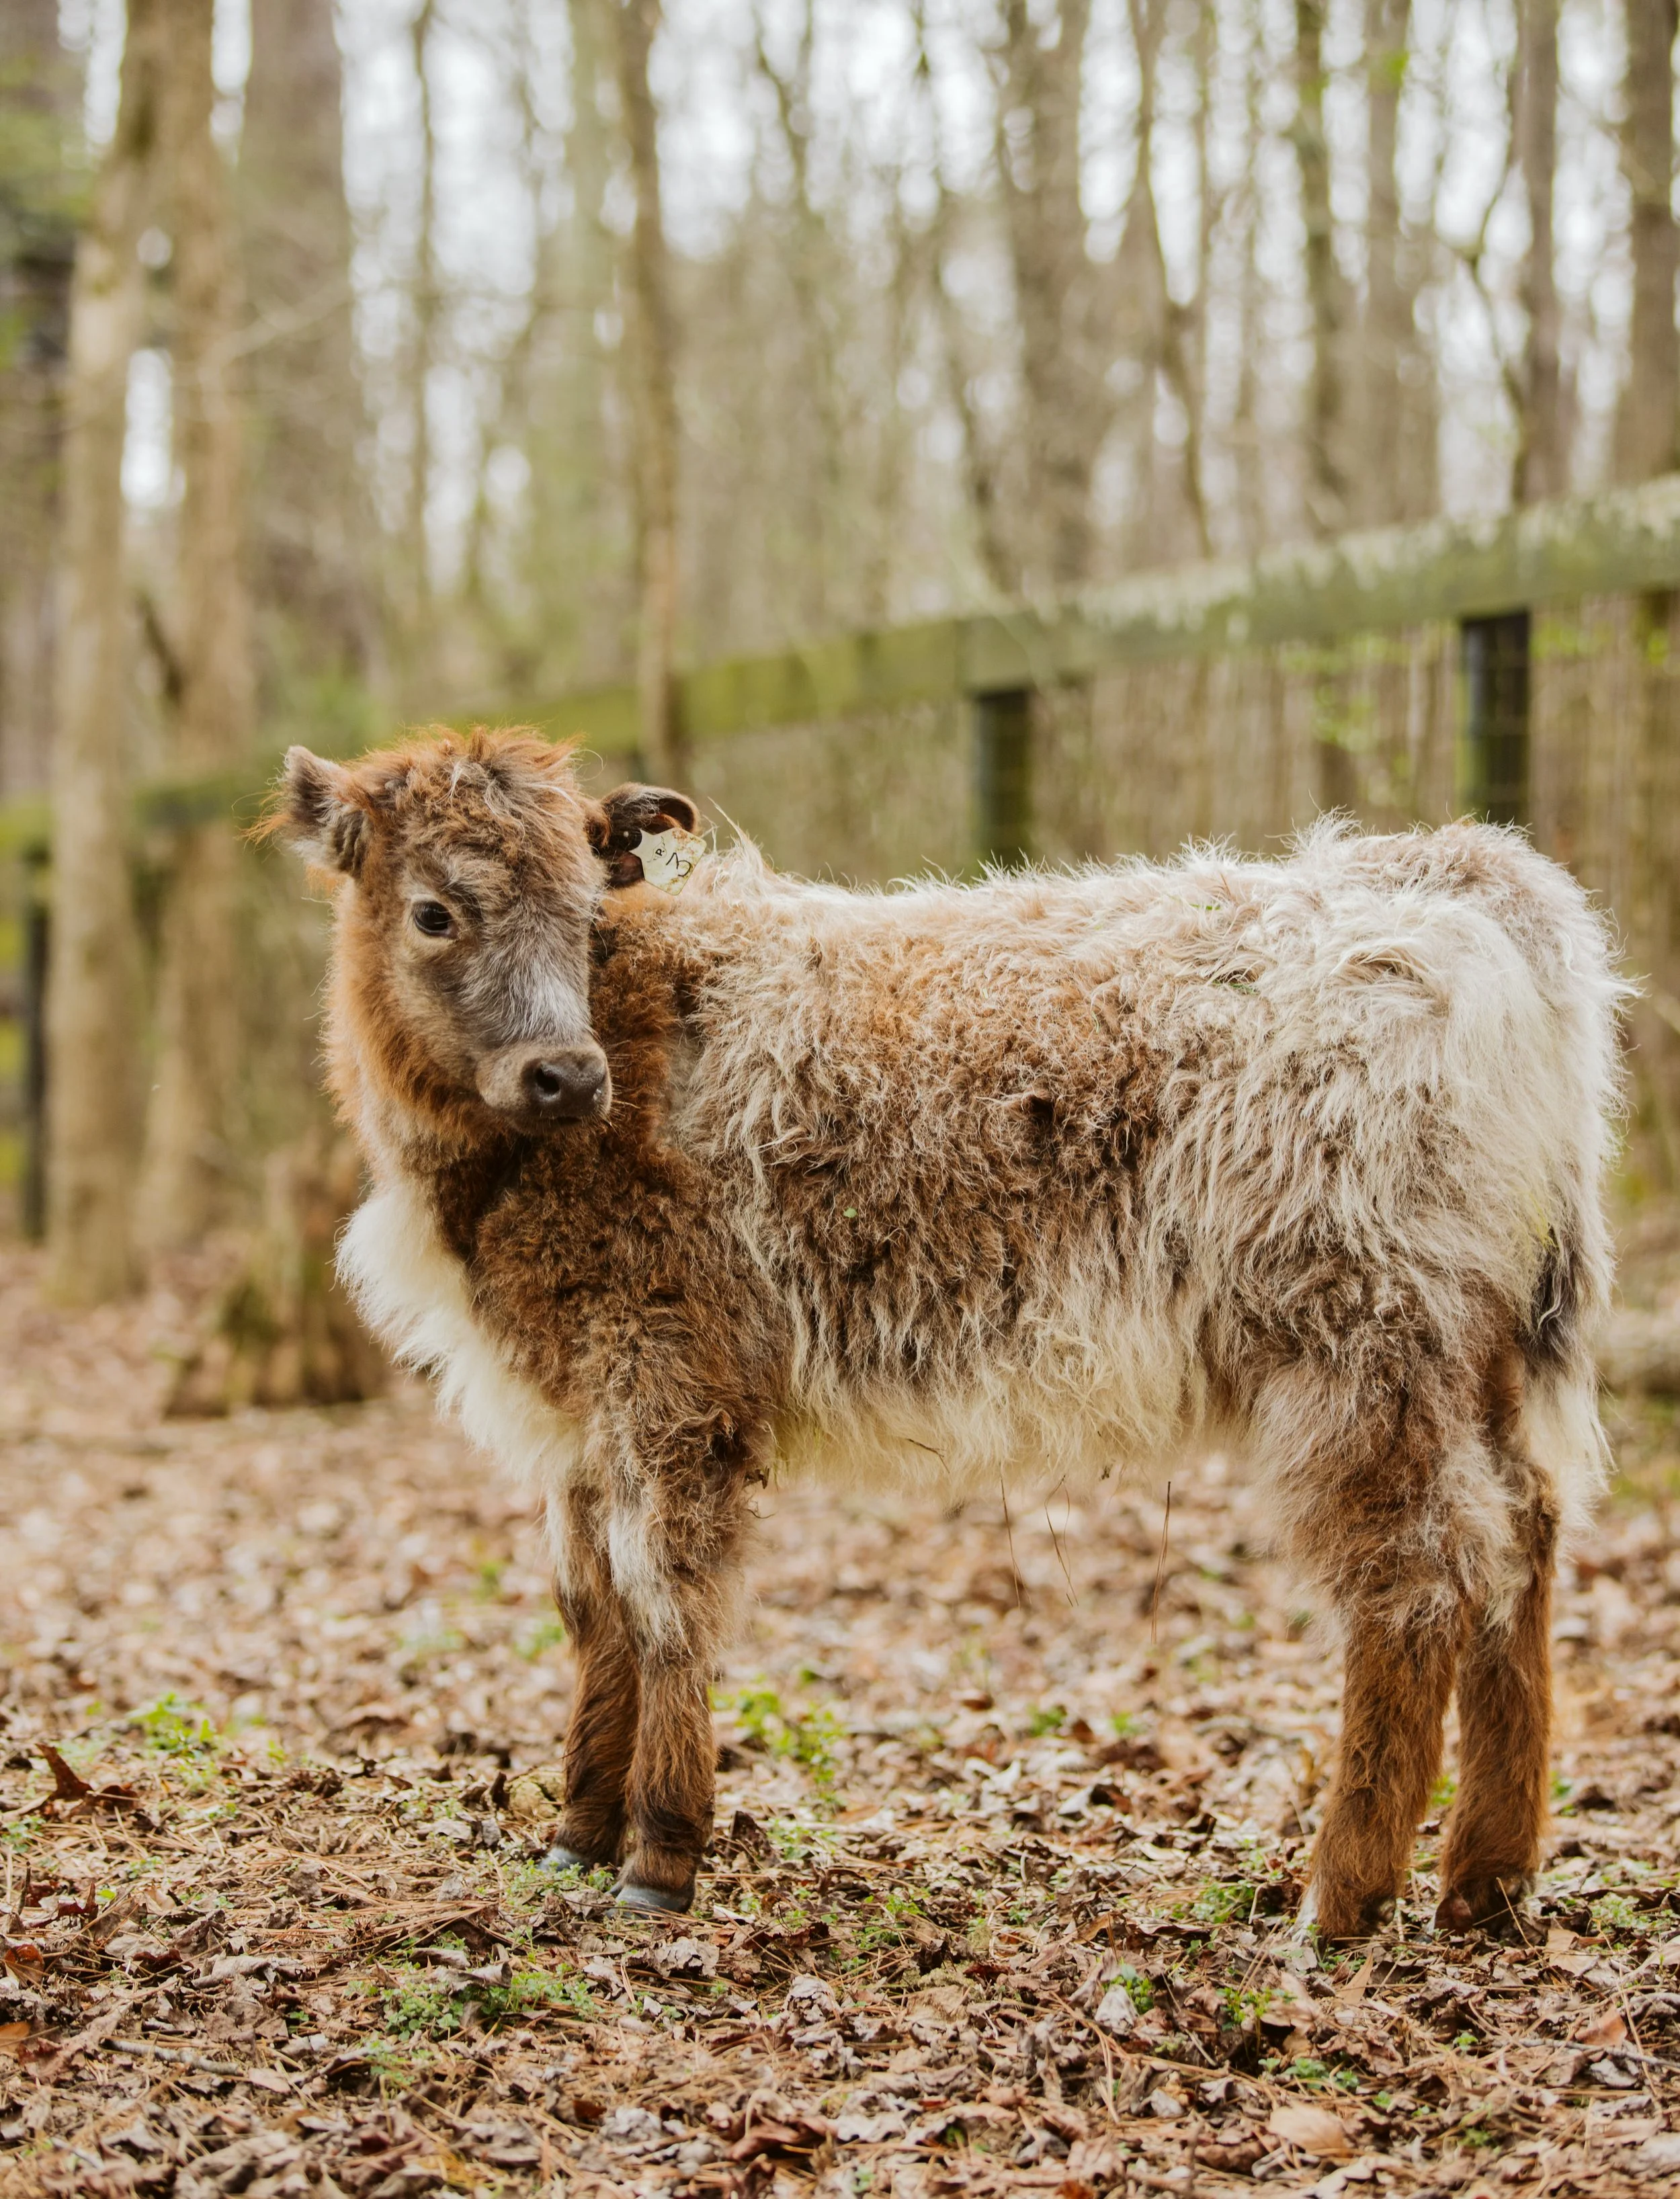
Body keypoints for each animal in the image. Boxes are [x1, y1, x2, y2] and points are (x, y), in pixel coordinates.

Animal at [264, 725, 1625, 1933]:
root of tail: (1449, 872)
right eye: (435, 912)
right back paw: (1485, 1886)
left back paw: (1337, 1901)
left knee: (1417, 1583)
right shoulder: (581, 1412)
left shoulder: (669, 1378)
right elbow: (595, 1607)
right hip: (1478, 1355)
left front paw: (658, 1855)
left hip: (1362, 1344)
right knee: (1520, 1545)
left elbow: (665, 1600)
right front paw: (576, 1835)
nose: (564, 1073)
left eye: (589, 914)